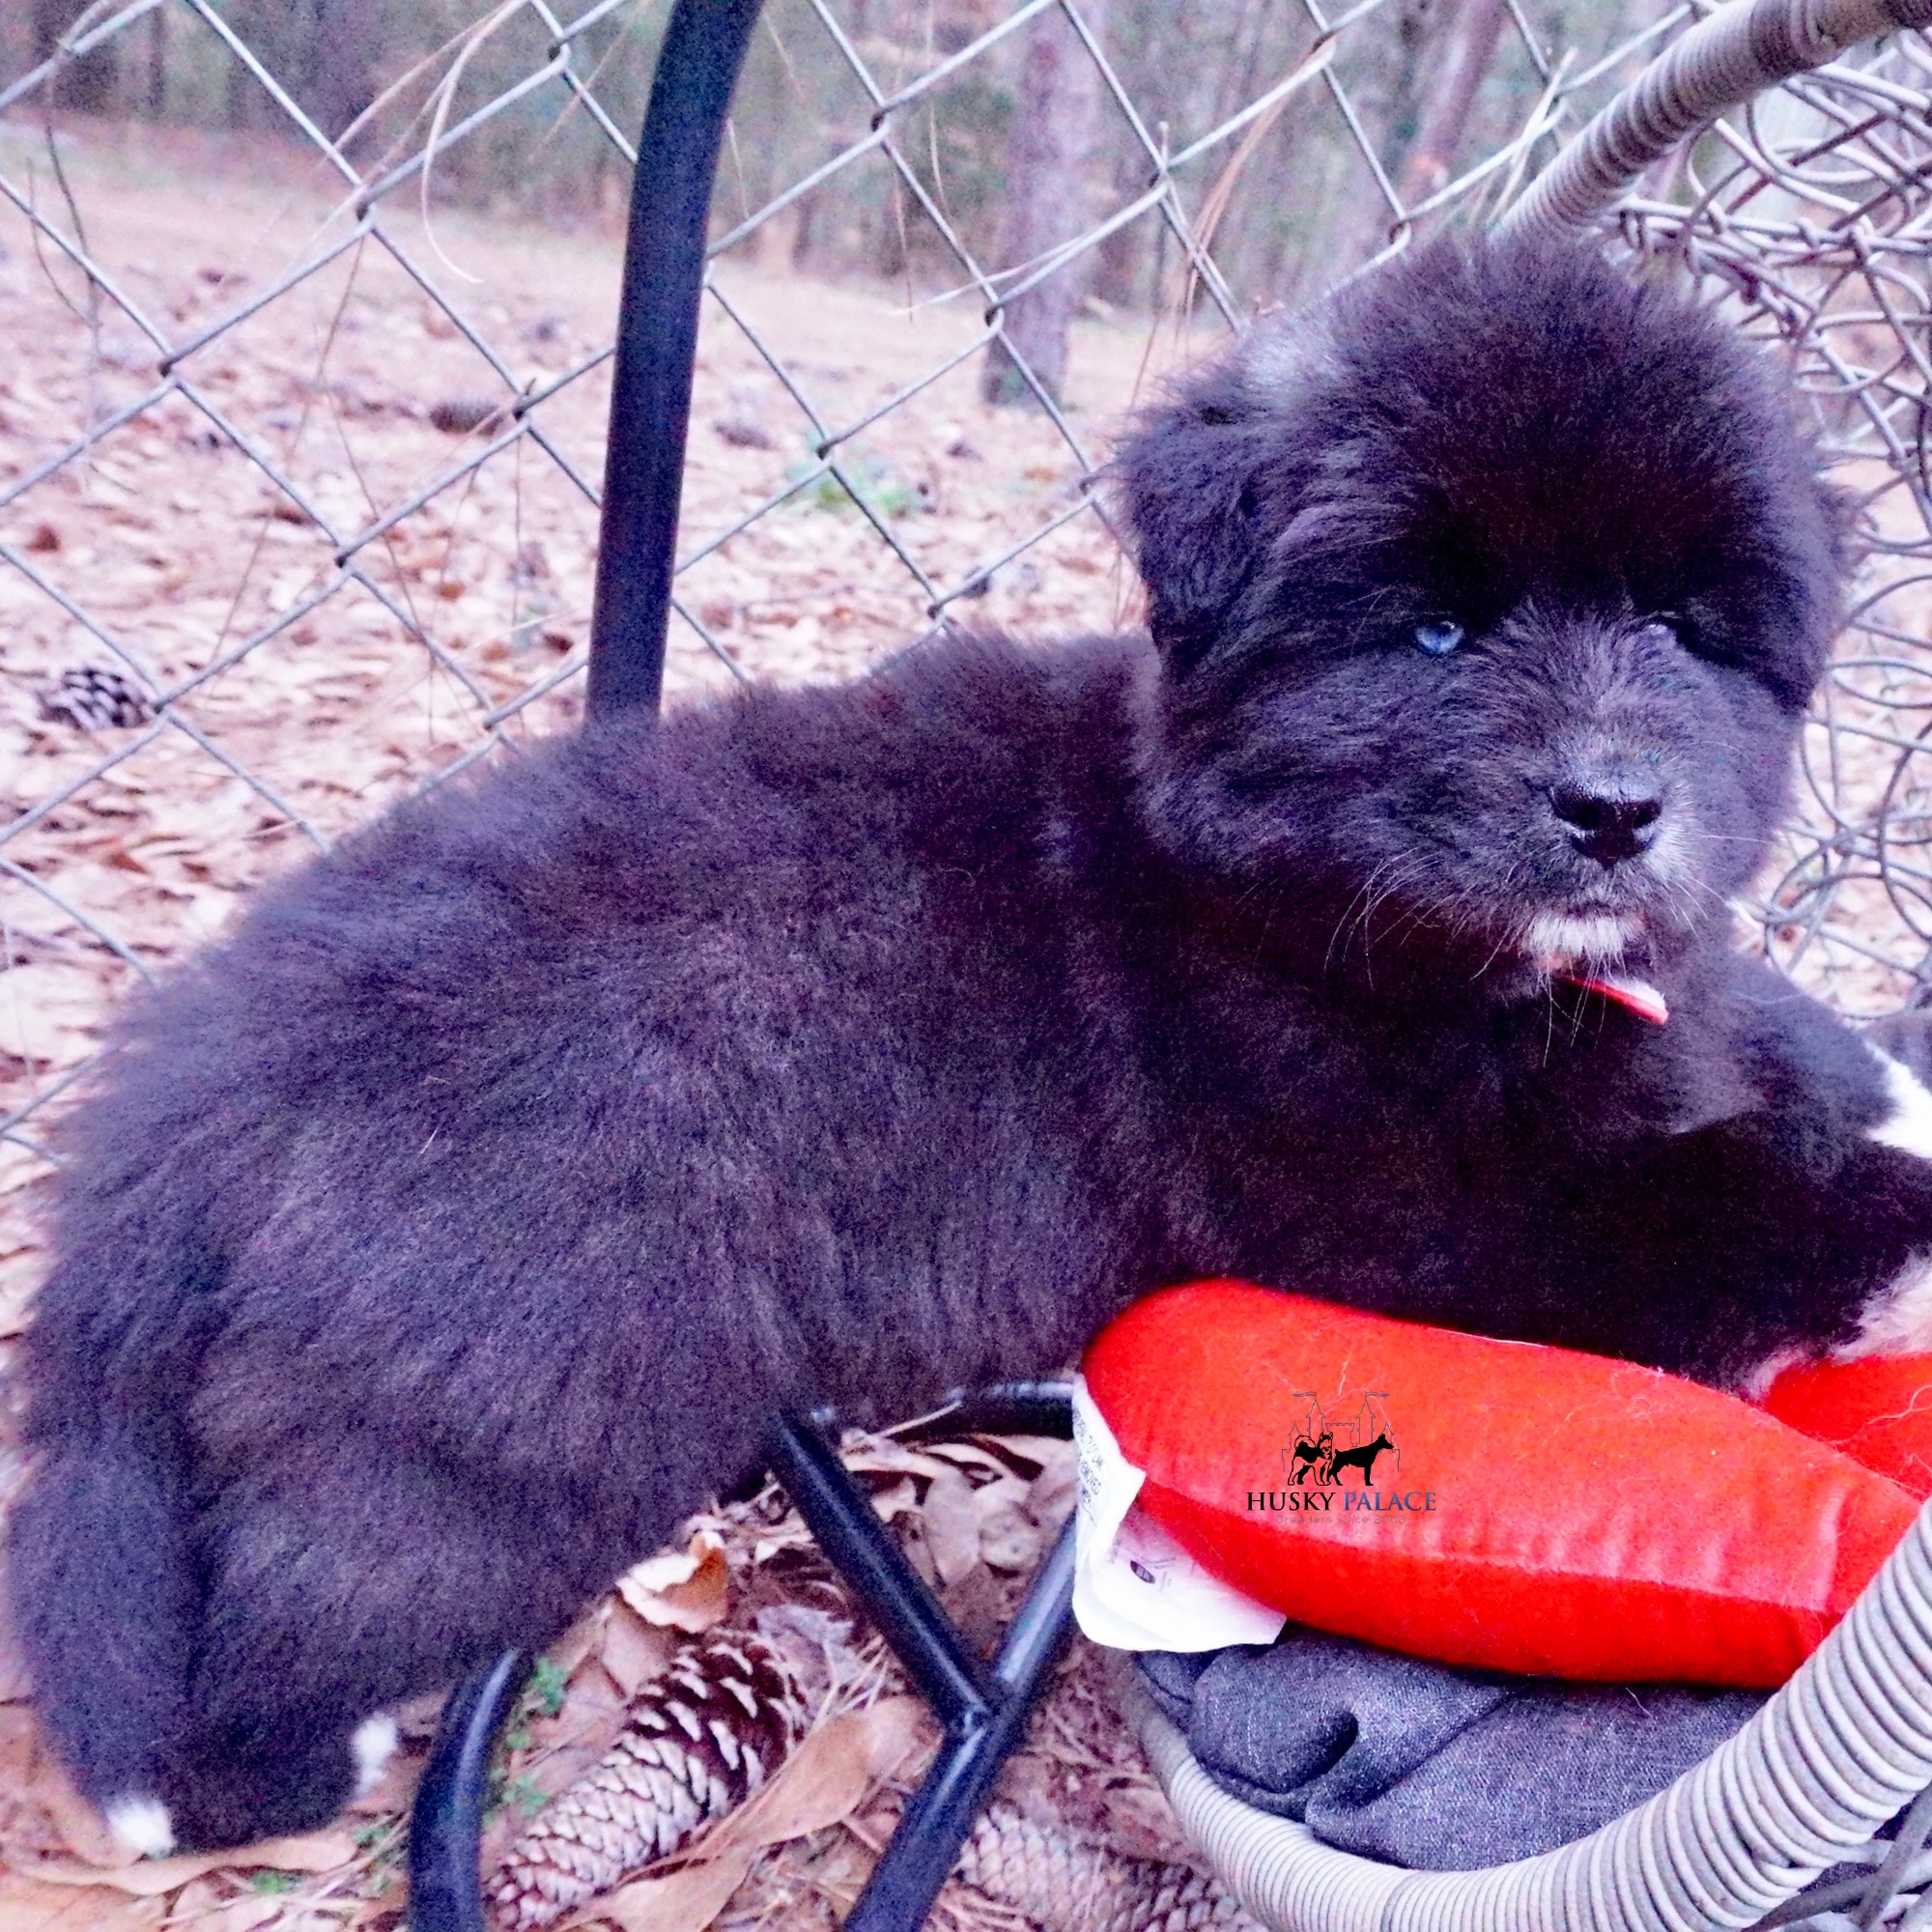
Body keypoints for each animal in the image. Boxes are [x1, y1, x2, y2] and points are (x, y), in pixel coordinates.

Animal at [14, 242, 1932, 1855]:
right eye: (1436, 630)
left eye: (1682, 627)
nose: (1615, 810)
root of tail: (231, 1042)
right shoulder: (1414, 1228)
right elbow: (1682, 1205)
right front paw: (1880, 1221)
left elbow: (1736, 1029)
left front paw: (1851, 1067)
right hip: (513, 1374)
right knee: (327, 1569)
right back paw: (258, 1774)